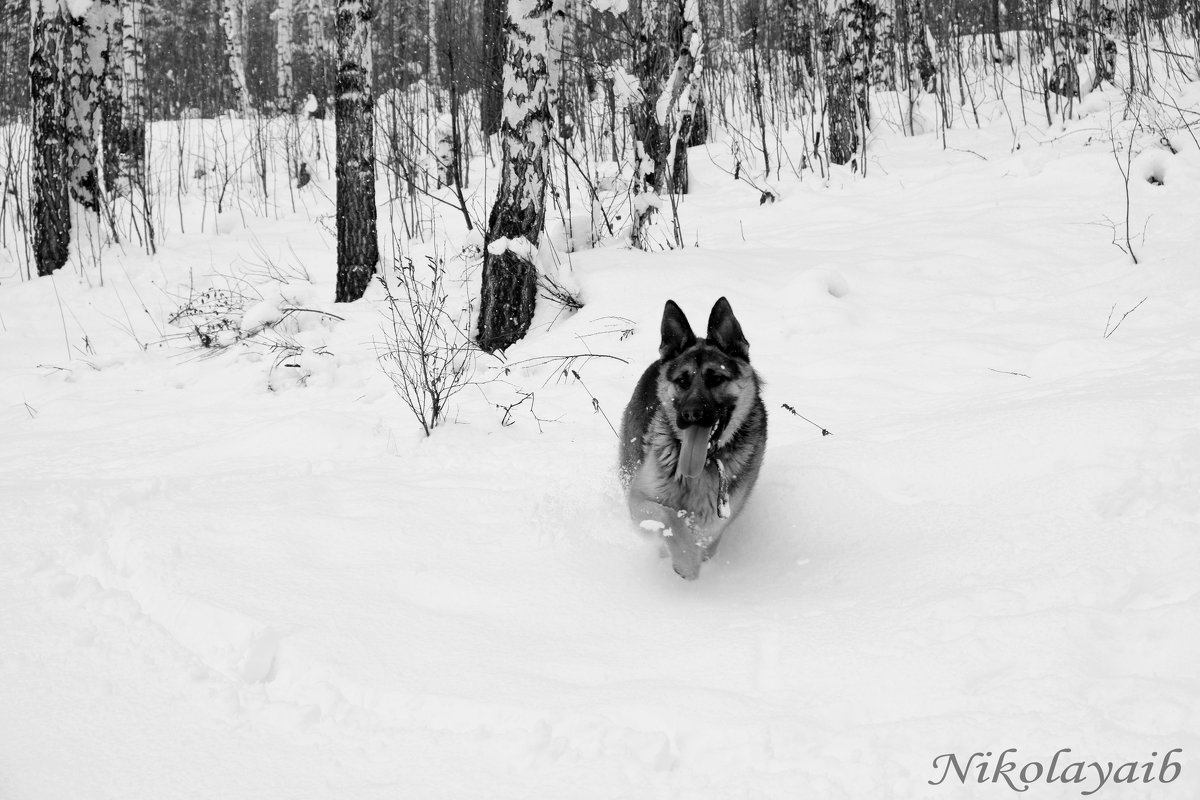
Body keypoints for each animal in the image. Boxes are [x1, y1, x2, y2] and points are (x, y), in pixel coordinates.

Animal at [619, 297, 768, 578]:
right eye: (682, 381)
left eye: (716, 378)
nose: (690, 414)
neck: (704, 464)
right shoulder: (639, 499)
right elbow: (670, 518)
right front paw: (686, 562)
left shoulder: (717, 519)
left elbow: (701, 536)